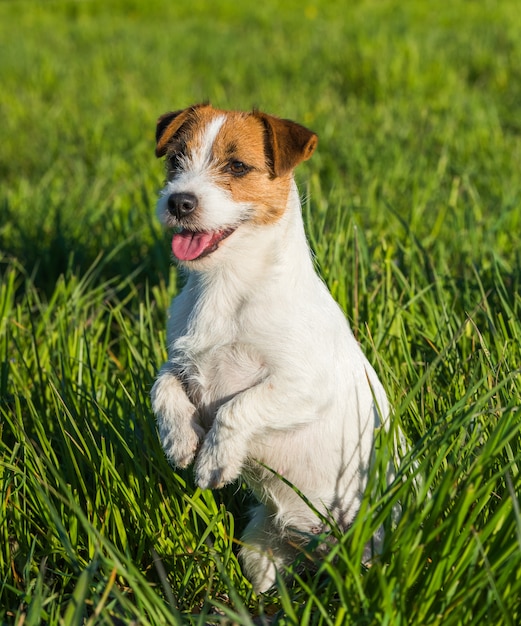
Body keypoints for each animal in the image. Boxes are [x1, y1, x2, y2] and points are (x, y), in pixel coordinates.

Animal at [148, 102, 388, 588]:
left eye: (238, 167)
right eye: (176, 160)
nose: (179, 201)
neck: (226, 287)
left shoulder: (303, 385)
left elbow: (237, 407)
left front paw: (213, 461)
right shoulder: (183, 360)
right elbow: (162, 385)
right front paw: (179, 439)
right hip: (261, 548)